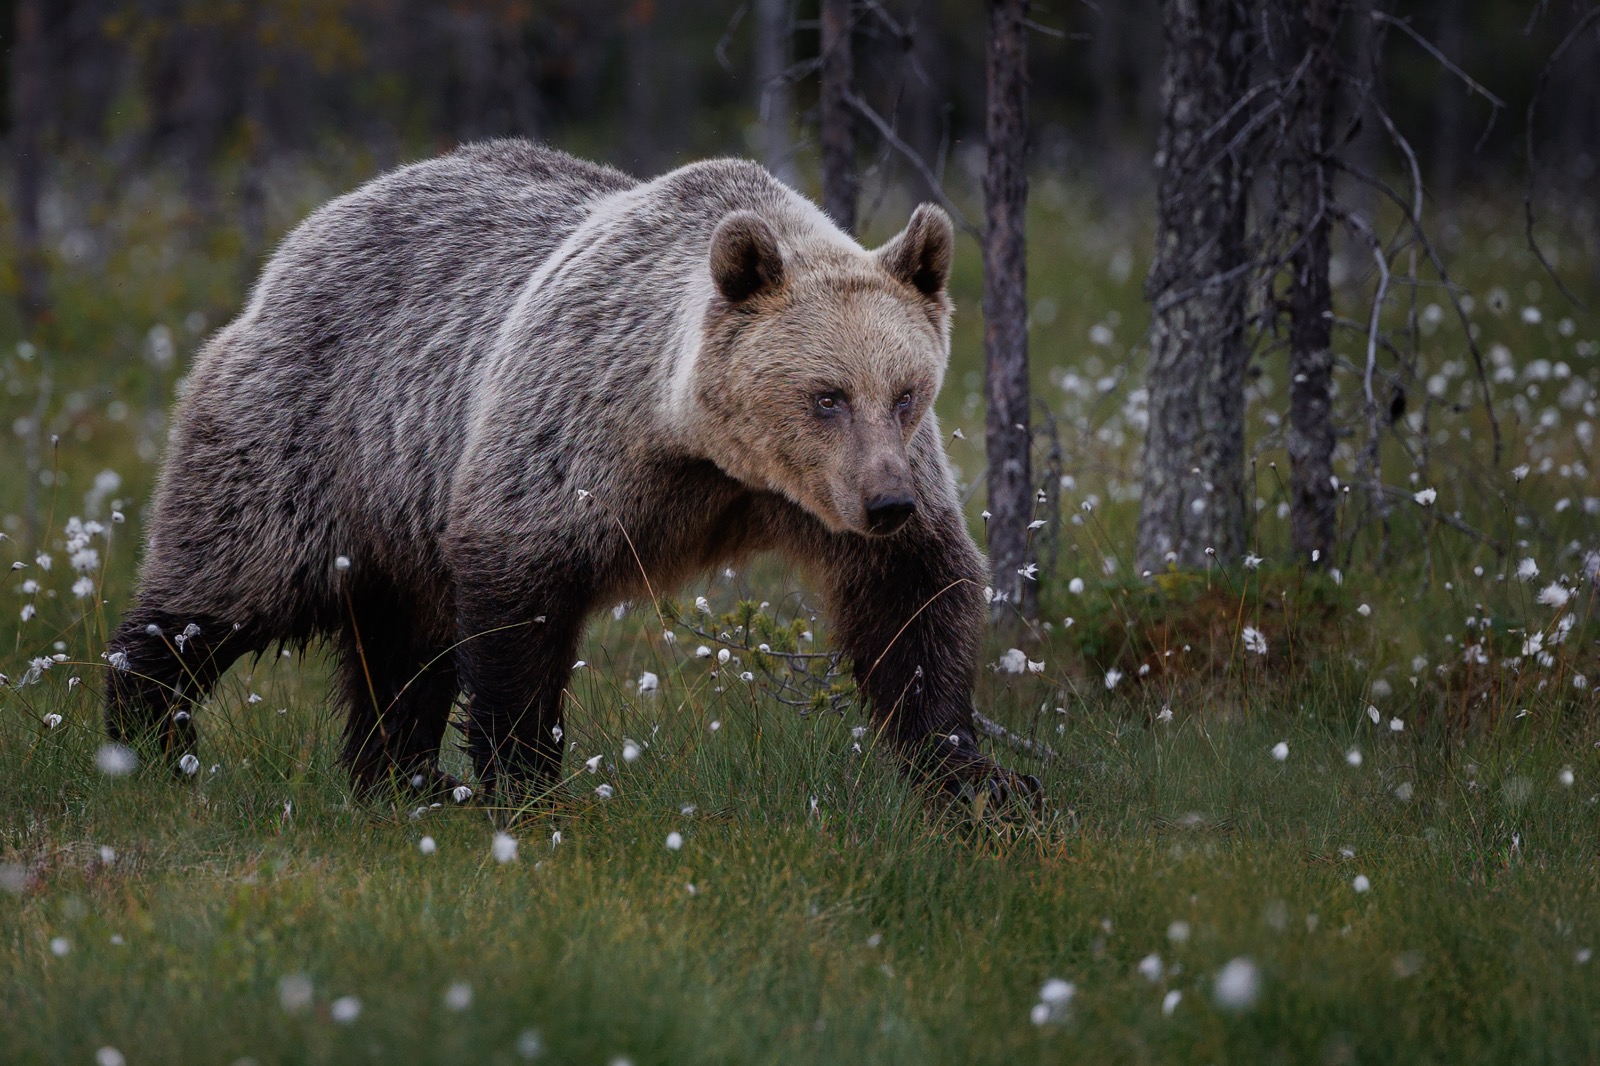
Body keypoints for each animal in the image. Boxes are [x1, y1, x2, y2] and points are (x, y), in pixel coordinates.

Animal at [104, 139, 1040, 807]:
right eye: (826, 396)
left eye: (907, 392)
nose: (886, 502)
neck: (707, 455)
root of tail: (302, 238)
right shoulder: (571, 435)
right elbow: (521, 605)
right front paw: (529, 782)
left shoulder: (821, 499)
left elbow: (913, 599)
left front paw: (981, 781)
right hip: (313, 434)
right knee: (223, 588)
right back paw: (149, 740)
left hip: (404, 503)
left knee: (405, 642)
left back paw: (405, 780)